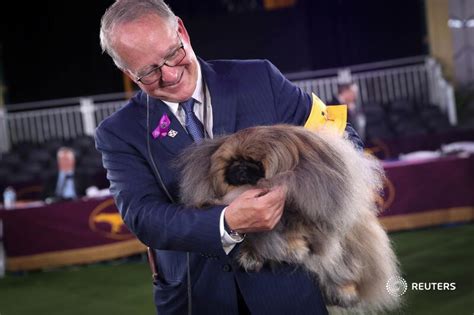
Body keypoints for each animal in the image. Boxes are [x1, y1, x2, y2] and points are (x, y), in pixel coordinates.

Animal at [178, 125, 400, 314]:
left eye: (254, 162)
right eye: (233, 161)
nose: (240, 167)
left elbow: (295, 228)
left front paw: (294, 249)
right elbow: (250, 237)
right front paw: (251, 256)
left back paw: (345, 292)